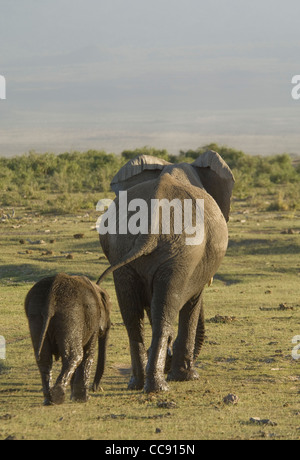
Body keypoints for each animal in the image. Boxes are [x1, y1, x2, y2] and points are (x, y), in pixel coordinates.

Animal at [24, 274, 111, 406]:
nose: (95, 389)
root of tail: (51, 297)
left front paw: (75, 397)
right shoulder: (93, 321)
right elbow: (88, 354)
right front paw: (83, 399)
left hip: (35, 314)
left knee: (44, 358)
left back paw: (48, 400)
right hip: (71, 315)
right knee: (75, 356)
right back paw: (57, 398)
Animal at [98, 150, 234, 392]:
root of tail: (150, 225)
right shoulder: (194, 265)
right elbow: (192, 304)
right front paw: (187, 376)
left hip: (123, 249)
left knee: (133, 317)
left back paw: (137, 383)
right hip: (182, 254)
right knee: (164, 313)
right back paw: (159, 386)